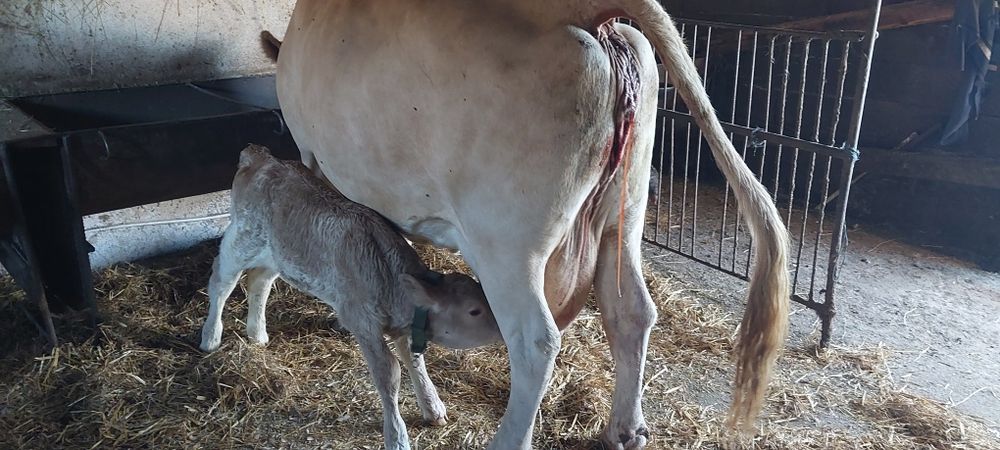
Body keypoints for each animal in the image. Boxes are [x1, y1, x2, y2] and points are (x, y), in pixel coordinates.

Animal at [199, 145, 503, 449]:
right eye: (474, 310)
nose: (503, 327)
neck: (388, 275)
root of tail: (262, 156)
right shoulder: (361, 320)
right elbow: (389, 372)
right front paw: (397, 437)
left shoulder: (403, 326)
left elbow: (415, 360)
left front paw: (433, 407)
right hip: (241, 238)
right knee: (221, 282)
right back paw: (211, 337)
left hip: (277, 254)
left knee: (259, 282)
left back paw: (257, 334)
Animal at [267, 0, 790, 448]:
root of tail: (586, 15)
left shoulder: (316, 159)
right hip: (624, 212)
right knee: (632, 311)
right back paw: (624, 428)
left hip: (507, 243)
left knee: (535, 340)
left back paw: (510, 438)